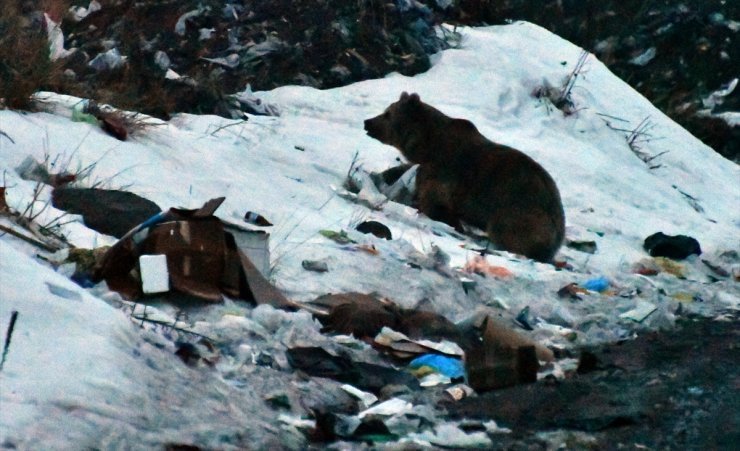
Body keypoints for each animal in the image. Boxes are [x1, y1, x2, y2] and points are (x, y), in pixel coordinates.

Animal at [366, 92, 568, 262]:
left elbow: (436, 203)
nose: (367, 122)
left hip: (519, 211)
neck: (428, 145)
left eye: (387, 114)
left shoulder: (445, 171)